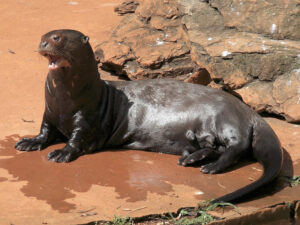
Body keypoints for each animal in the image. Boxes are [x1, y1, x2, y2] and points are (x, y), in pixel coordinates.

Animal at [15, 29, 284, 203]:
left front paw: (61, 152)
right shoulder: (49, 113)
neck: (66, 102)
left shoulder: (88, 119)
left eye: (57, 38)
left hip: (225, 118)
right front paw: (29, 142)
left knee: (236, 147)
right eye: (42, 37)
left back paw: (210, 167)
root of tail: (250, 112)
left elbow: (77, 139)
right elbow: (44, 130)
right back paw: (192, 158)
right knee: (216, 147)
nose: (43, 44)